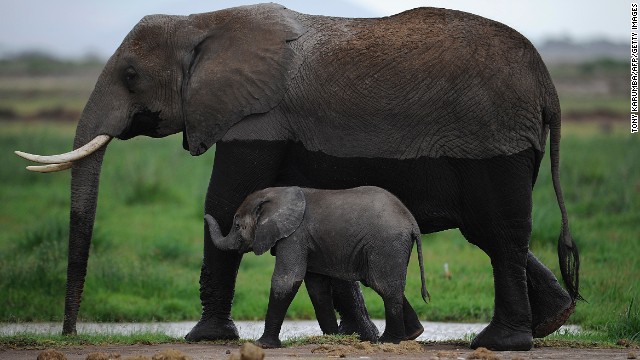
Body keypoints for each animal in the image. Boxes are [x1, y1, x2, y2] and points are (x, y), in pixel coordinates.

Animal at [205, 187, 430, 348]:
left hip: (386, 244)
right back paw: (413, 334)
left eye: (236, 226)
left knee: (383, 285)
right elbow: (316, 287)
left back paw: (388, 342)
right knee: (383, 284)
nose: (206, 215)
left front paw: (262, 345)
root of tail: (412, 223)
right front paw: (333, 338)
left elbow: (287, 280)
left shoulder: (294, 236)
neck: (276, 195)